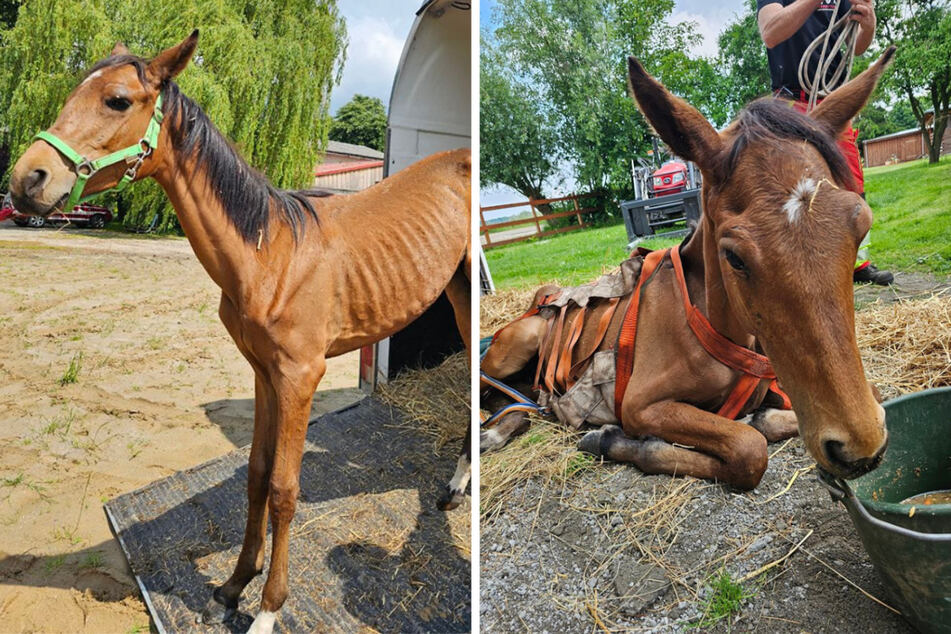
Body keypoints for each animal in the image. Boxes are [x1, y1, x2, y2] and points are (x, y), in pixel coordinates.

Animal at [7, 33, 468, 632]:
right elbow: (255, 474)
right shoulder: (264, 374)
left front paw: (269, 609)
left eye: (117, 100)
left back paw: (456, 487)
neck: (270, 255)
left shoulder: (300, 378)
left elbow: (284, 490)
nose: (27, 180)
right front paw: (233, 584)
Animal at [480, 48, 896, 488]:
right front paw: (612, 440)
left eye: (860, 226)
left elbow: (857, 399)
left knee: (519, 406)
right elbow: (749, 449)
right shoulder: (640, 405)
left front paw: (763, 416)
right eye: (734, 257)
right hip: (516, 345)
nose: (859, 447)